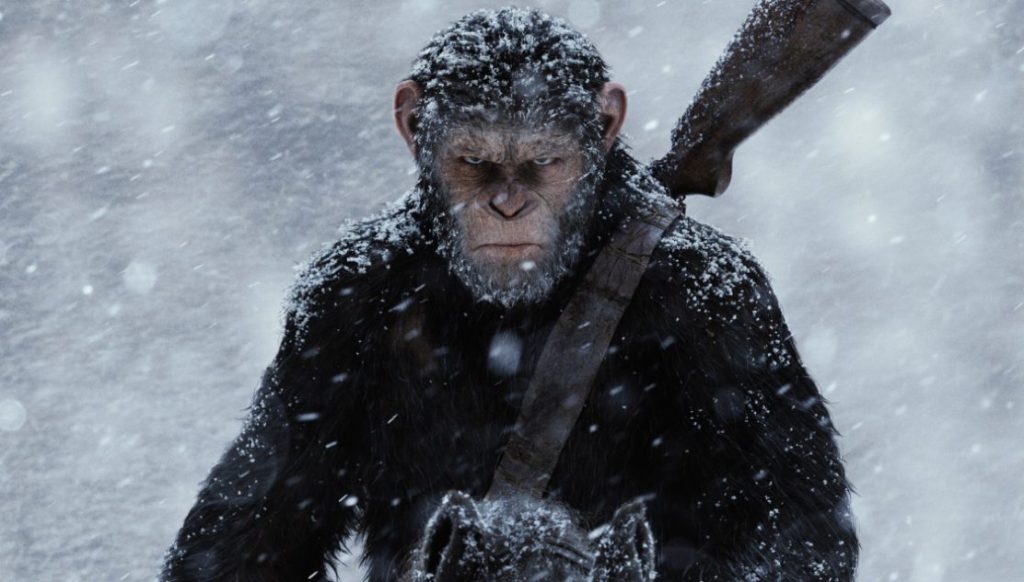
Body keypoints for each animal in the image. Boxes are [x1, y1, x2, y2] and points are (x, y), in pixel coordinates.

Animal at [162, 8, 856, 581]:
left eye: (546, 160)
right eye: (472, 158)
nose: (507, 206)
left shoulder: (723, 305)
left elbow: (793, 519)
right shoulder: (329, 308)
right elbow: (262, 522)